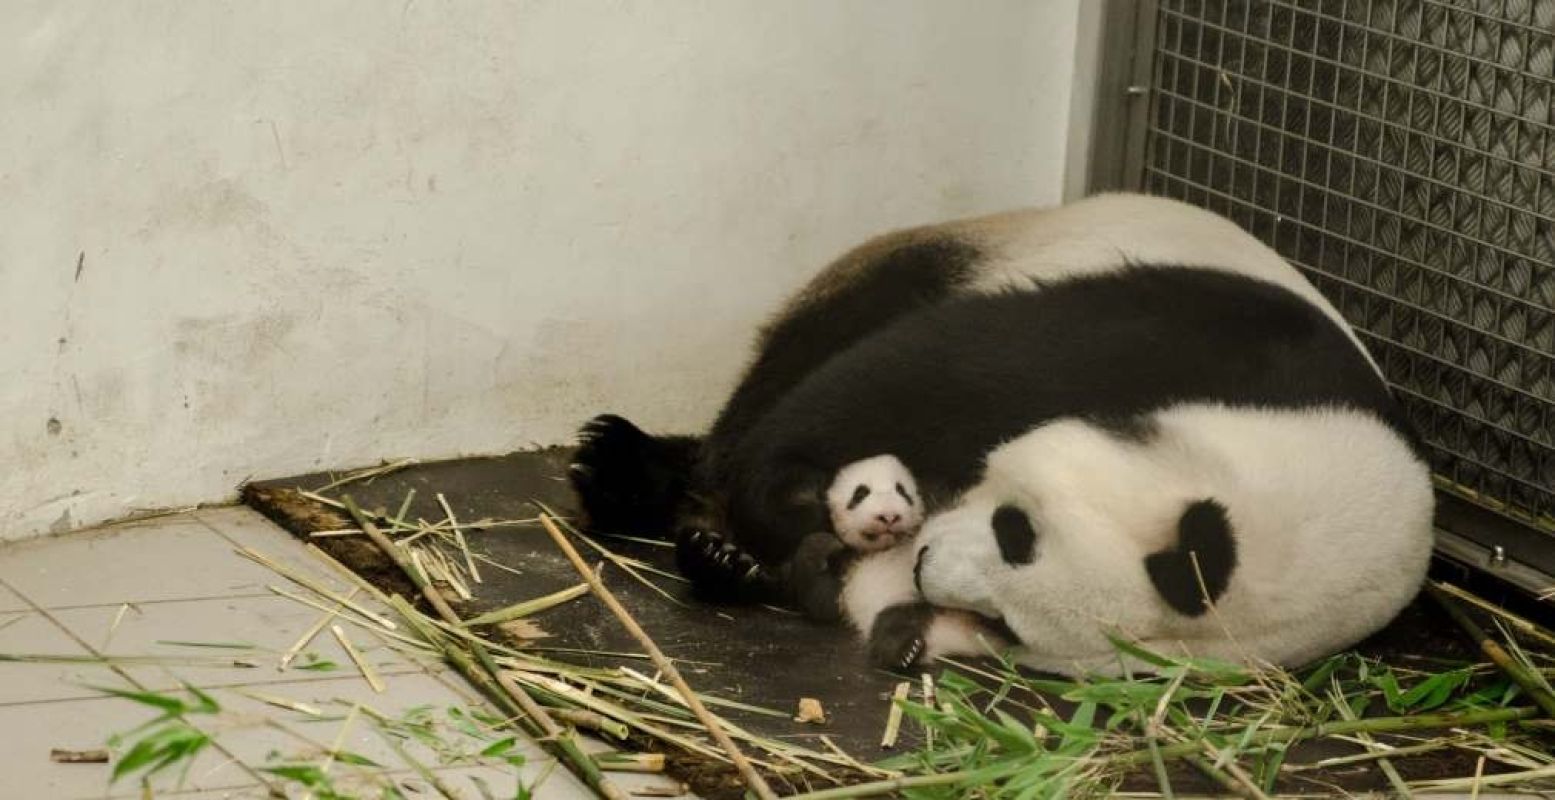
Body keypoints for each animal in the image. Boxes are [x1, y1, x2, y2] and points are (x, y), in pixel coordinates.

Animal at [569, 192, 1430, 666]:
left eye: (1002, 622)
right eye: (1017, 529)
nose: (919, 563)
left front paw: (837, 587)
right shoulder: (1207, 339)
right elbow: (945, 368)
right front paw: (785, 500)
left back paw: (722, 556)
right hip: (943, 254)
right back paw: (633, 474)